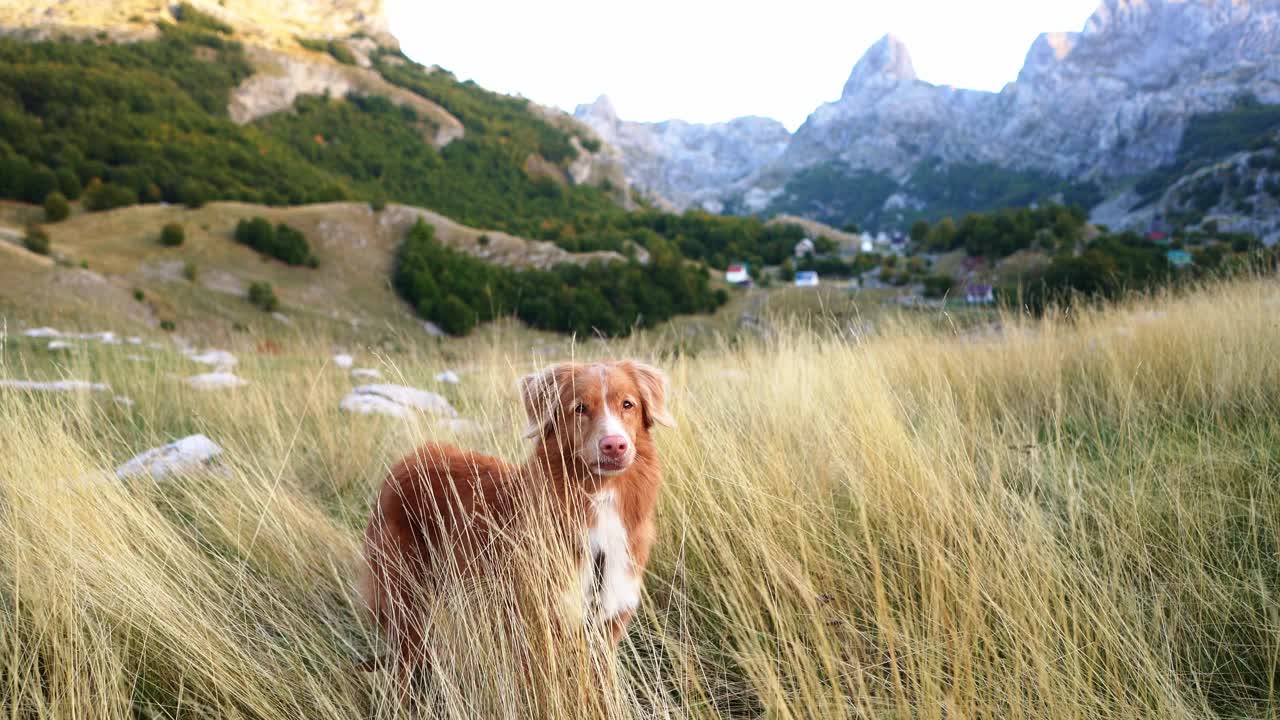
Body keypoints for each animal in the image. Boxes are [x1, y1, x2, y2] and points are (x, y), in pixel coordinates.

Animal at [360, 361, 675, 676]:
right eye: (580, 408)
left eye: (628, 404)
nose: (614, 445)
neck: (600, 498)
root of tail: (402, 464)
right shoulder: (537, 620)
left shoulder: (608, 620)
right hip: (405, 595)